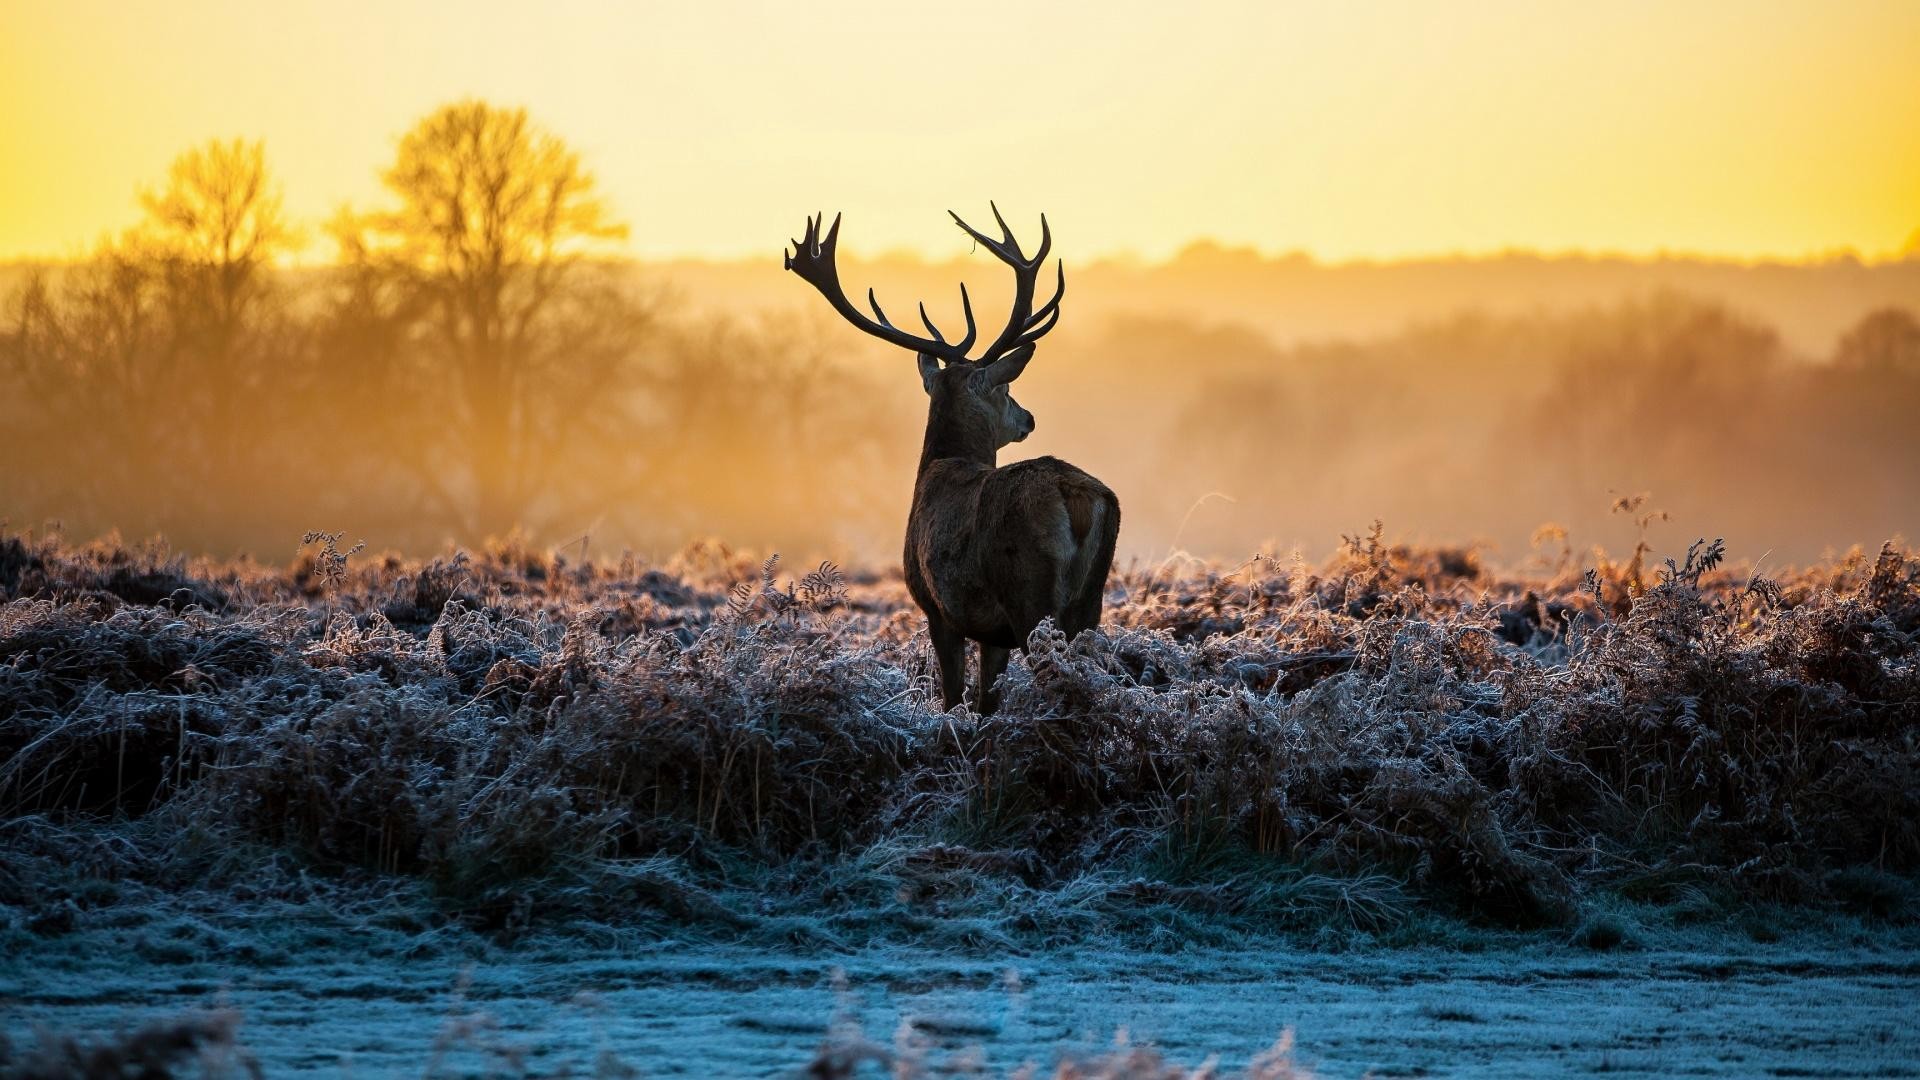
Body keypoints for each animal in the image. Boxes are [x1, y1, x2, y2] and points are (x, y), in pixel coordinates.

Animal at [784, 205, 1120, 716]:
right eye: (1005, 388)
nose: (1028, 418)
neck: (939, 467)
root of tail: (1076, 496)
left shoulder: (937, 607)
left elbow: (952, 698)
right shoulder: (991, 632)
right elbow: (985, 702)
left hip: (1028, 592)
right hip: (1090, 601)